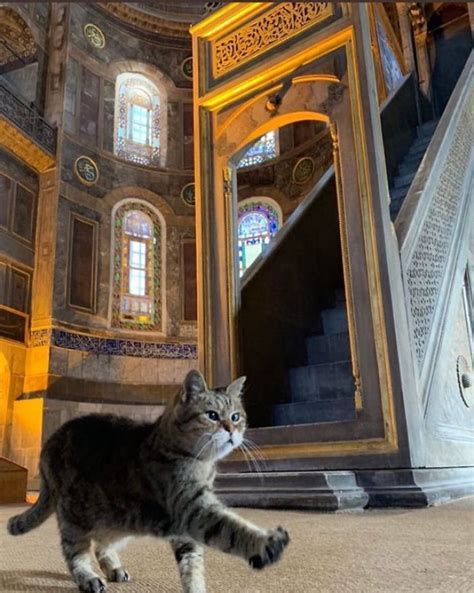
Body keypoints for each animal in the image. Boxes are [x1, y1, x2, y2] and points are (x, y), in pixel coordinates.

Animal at [7, 370, 288, 592]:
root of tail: (47, 446)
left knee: (101, 545)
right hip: (74, 517)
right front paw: (266, 543)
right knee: (75, 552)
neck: (201, 464)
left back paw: (114, 567)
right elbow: (233, 529)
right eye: (212, 415)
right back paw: (89, 577)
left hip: (119, 520)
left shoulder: (186, 528)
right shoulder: (193, 510)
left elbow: (192, 566)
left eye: (236, 416)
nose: (231, 430)